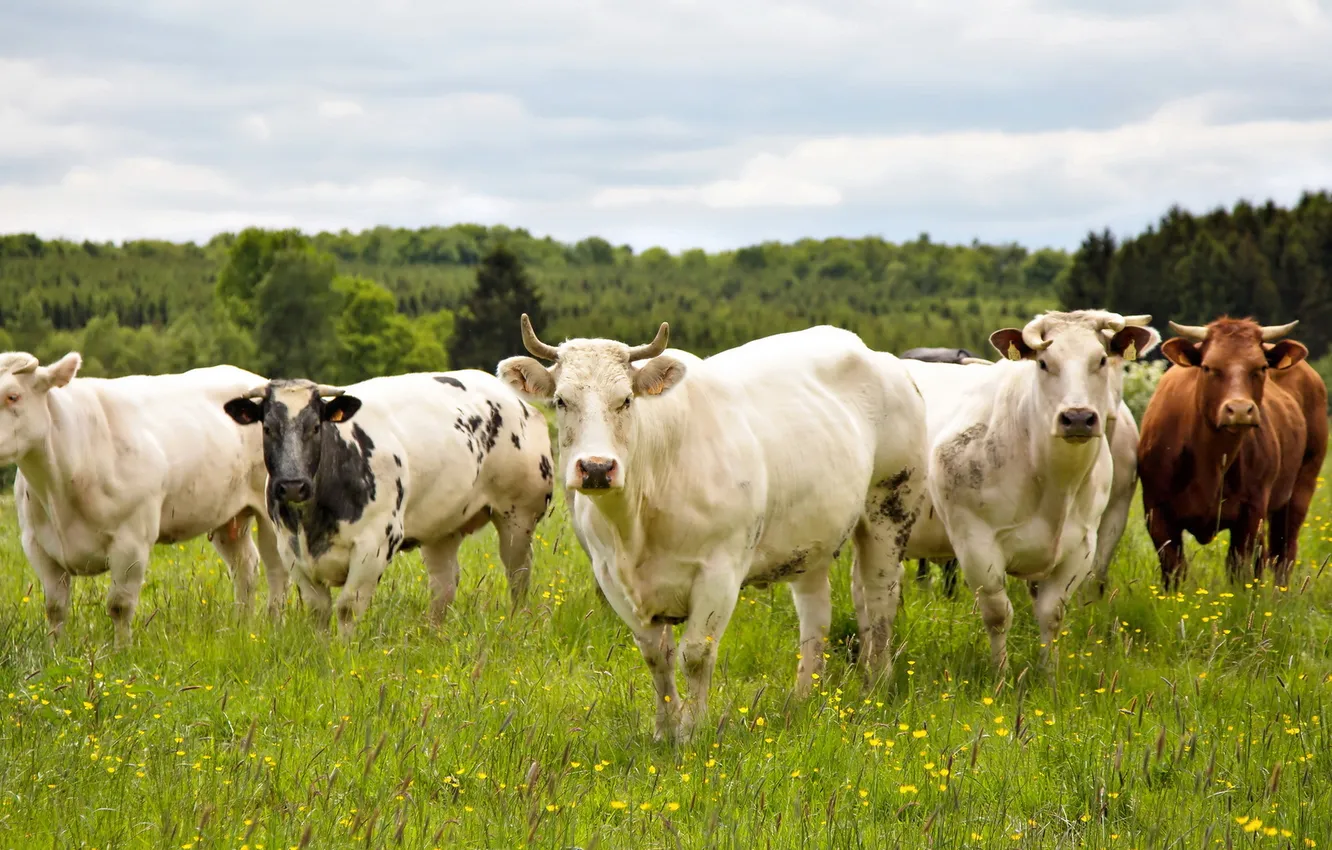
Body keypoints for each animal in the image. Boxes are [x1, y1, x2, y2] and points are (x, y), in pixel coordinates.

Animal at [1, 351, 287, 646]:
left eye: (13, 396)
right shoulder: (36, 544)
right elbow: (54, 608)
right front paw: (55, 649)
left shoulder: (132, 541)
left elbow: (119, 605)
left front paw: (121, 651)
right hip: (227, 515)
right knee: (245, 566)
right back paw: (243, 626)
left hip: (271, 511)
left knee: (277, 569)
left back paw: (274, 625)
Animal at [222, 371, 553, 635]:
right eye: (267, 428)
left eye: (315, 426)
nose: (292, 485)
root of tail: (516, 401)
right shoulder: (290, 550)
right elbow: (319, 611)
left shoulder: (376, 544)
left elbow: (347, 608)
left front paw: (341, 659)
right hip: (441, 529)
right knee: (444, 586)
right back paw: (432, 636)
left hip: (518, 518)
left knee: (518, 576)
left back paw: (518, 623)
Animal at [498, 316, 927, 740]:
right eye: (561, 401)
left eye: (625, 400)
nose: (597, 468)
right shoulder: (611, 577)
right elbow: (656, 656)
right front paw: (664, 731)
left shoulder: (720, 571)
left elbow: (695, 655)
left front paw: (692, 731)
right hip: (814, 537)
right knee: (816, 614)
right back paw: (804, 695)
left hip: (890, 507)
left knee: (880, 598)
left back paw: (877, 685)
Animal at [901, 311, 1157, 671]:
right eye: (1044, 363)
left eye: (1102, 360)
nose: (1078, 417)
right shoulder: (975, 544)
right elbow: (998, 615)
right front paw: (1002, 675)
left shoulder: (1083, 546)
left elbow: (1052, 614)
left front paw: (1049, 675)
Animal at [1137, 318, 1327, 589]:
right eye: (1208, 367)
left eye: (1260, 367)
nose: (1239, 409)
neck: (1211, 461)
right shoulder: (1157, 512)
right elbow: (1174, 570)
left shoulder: (1251, 511)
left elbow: (1239, 569)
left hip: (1301, 488)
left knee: (1283, 553)